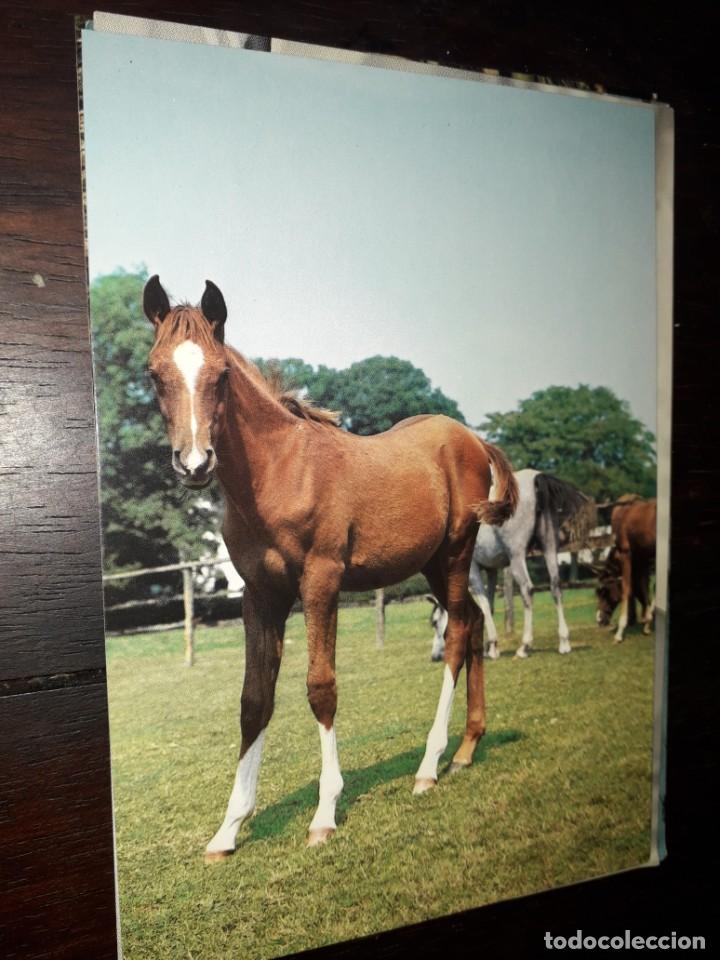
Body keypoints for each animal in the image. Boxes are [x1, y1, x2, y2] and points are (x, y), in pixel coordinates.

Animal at [142, 275, 519, 858]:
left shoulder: (321, 580)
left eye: (221, 373)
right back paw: (465, 749)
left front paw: (324, 814)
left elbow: (321, 686)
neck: (278, 472)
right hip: (434, 564)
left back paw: (428, 766)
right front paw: (228, 829)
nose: (195, 464)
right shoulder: (261, 594)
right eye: (154, 373)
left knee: (458, 635)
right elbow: (254, 698)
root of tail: (472, 438)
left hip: (457, 554)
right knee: (474, 624)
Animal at [429, 470, 594, 660]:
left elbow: (484, 606)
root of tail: (536, 478)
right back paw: (564, 642)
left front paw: (492, 646)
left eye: (435, 622)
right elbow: (490, 604)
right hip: (550, 547)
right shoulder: (491, 570)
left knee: (527, 590)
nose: (435, 656)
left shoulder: (473, 571)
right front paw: (489, 647)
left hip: (516, 558)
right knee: (556, 587)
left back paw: (524, 646)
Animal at [595, 495, 656, 642]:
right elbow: (644, 588)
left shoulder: (626, 553)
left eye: (603, 592)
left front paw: (620, 631)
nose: (599, 620)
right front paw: (646, 622)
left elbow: (627, 590)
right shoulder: (642, 560)